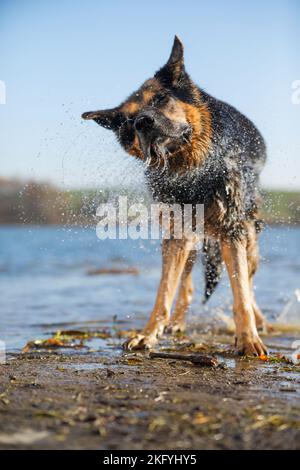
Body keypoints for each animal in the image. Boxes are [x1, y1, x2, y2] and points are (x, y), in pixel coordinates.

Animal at [82, 35, 268, 356]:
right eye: (128, 121)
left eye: (159, 99)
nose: (142, 122)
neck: (193, 170)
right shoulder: (176, 235)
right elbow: (164, 291)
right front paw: (149, 334)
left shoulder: (232, 230)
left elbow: (241, 292)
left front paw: (247, 338)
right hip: (190, 241)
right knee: (188, 285)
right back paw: (178, 322)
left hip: (247, 235)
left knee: (248, 279)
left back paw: (259, 320)